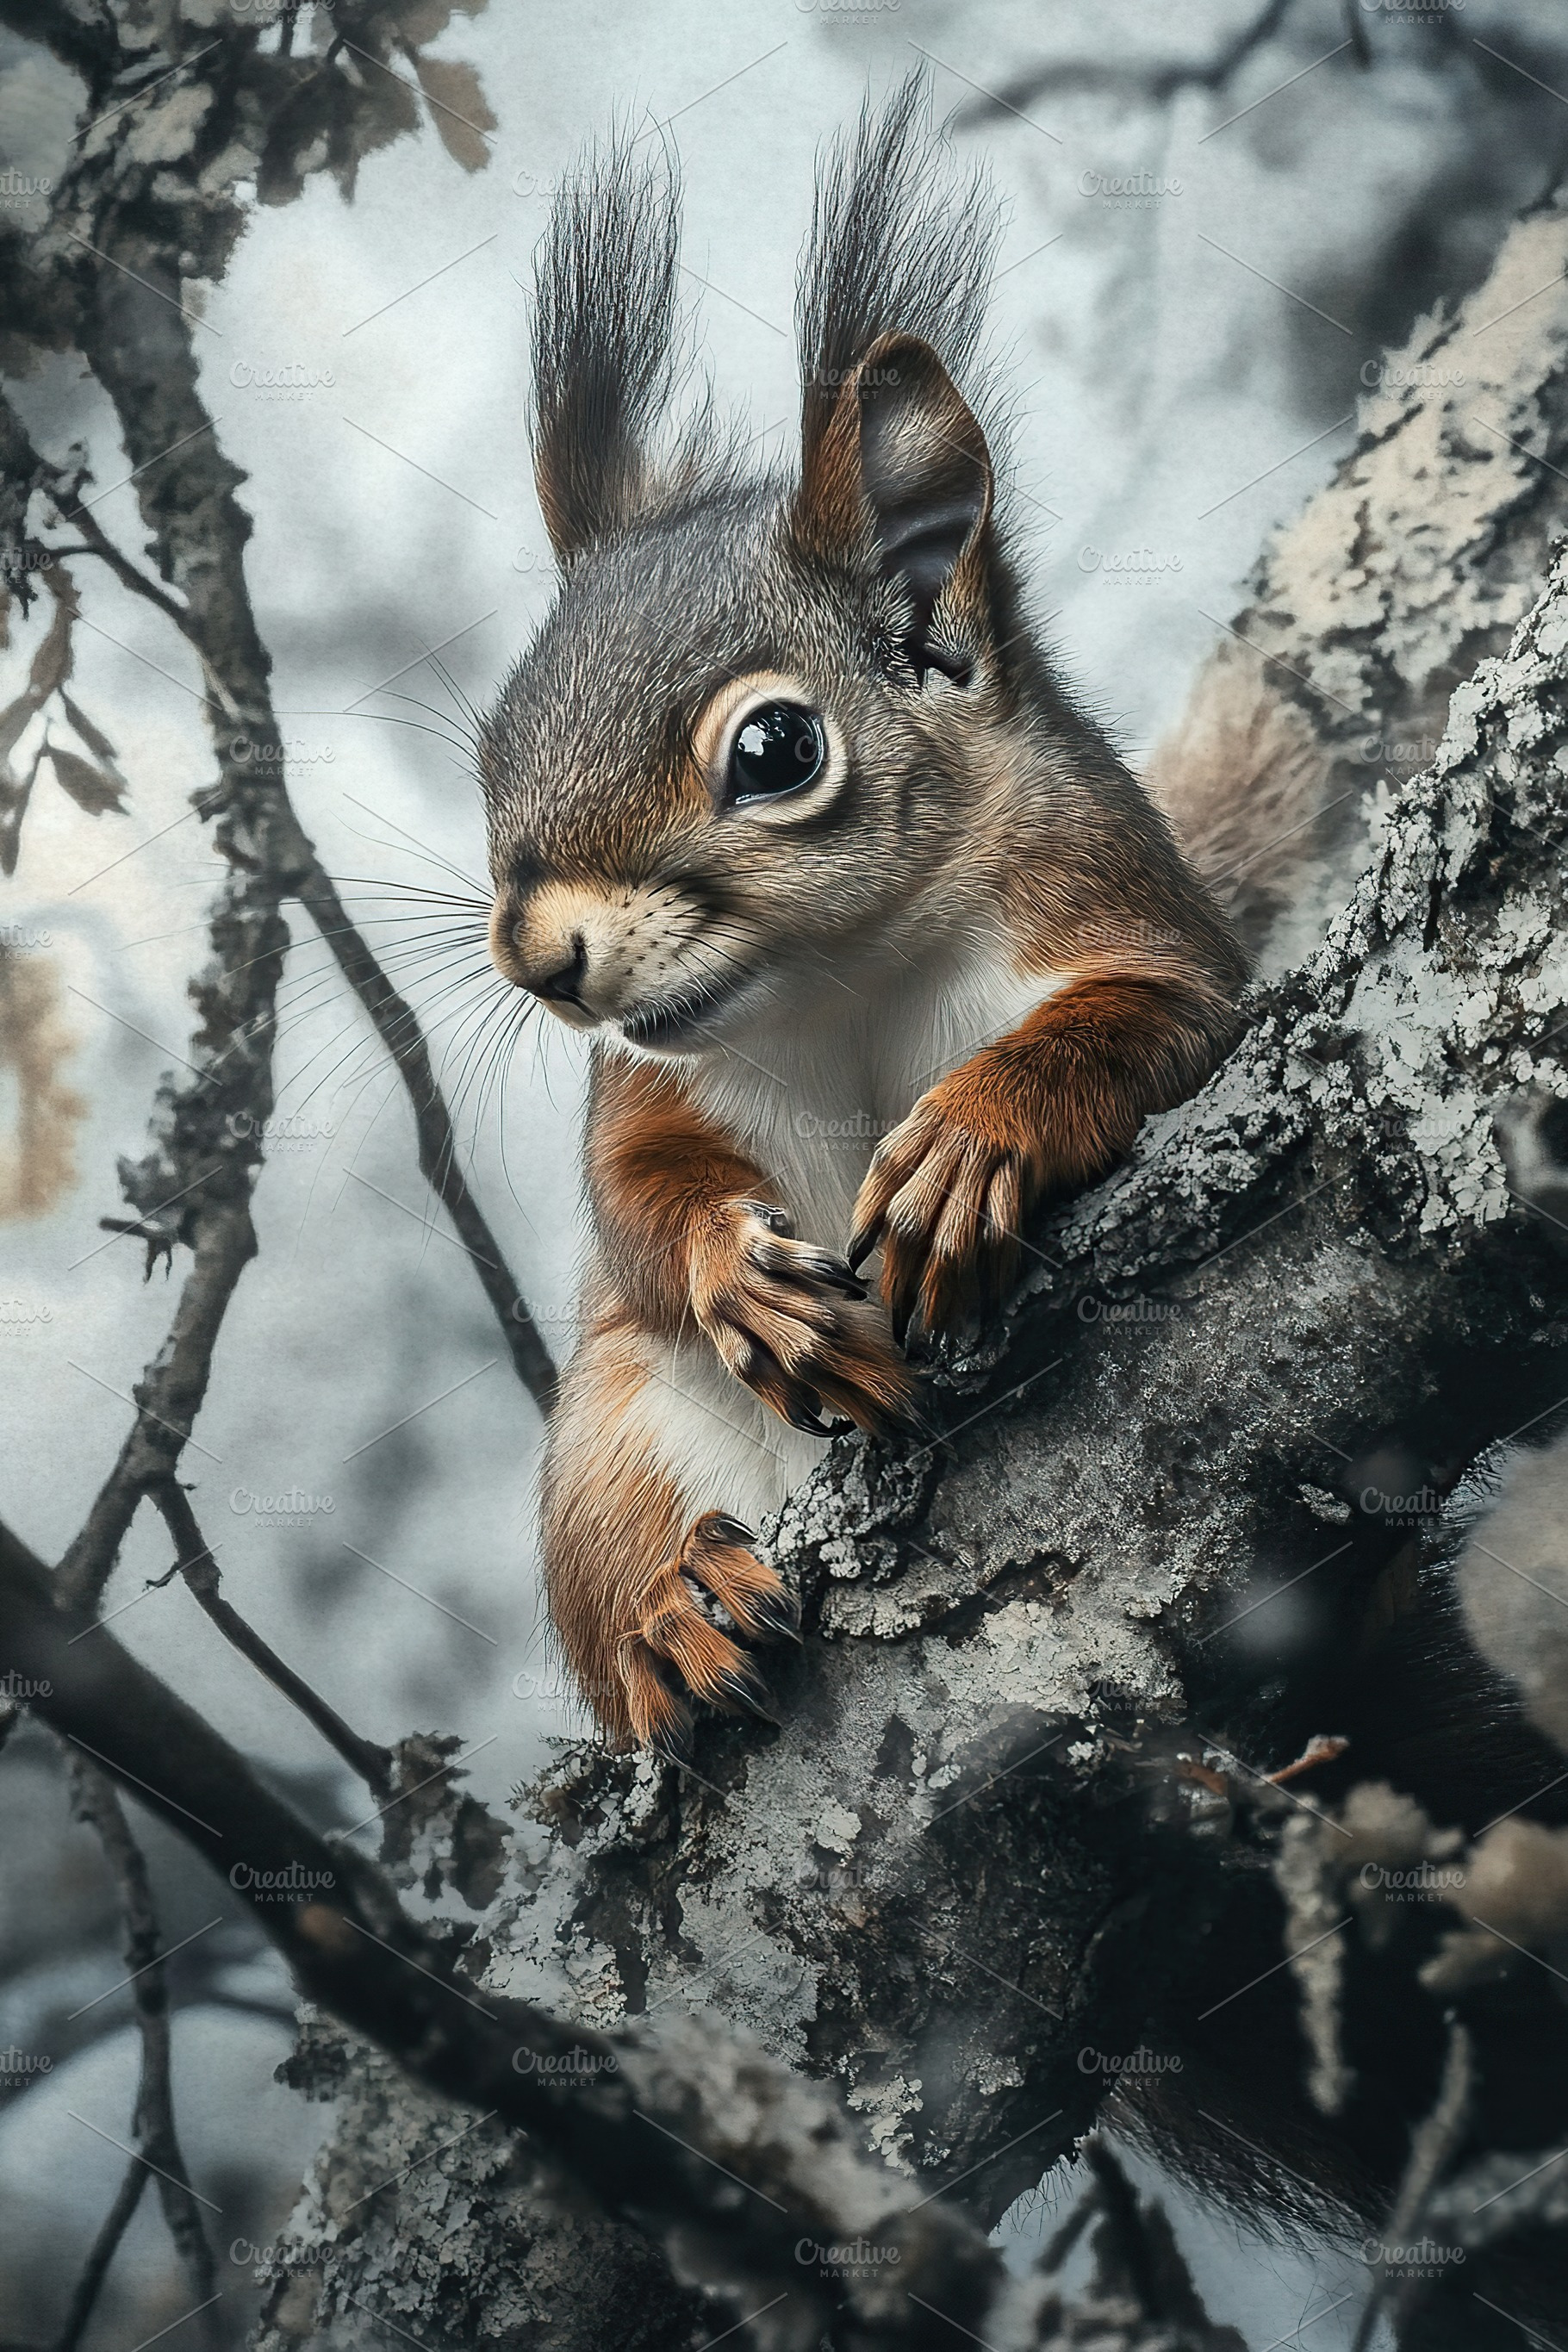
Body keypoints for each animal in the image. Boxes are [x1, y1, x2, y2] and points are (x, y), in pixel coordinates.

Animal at [479, 82, 1253, 1753]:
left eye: (776, 749)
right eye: (494, 742)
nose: (540, 957)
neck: (840, 974)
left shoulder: (1121, 910)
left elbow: (1162, 1019)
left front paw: (974, 1141)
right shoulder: (650, 1079)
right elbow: (635, 1196)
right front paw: (739, 1278)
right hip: (613, 1432)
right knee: (618, 1555)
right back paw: (671, 1614)